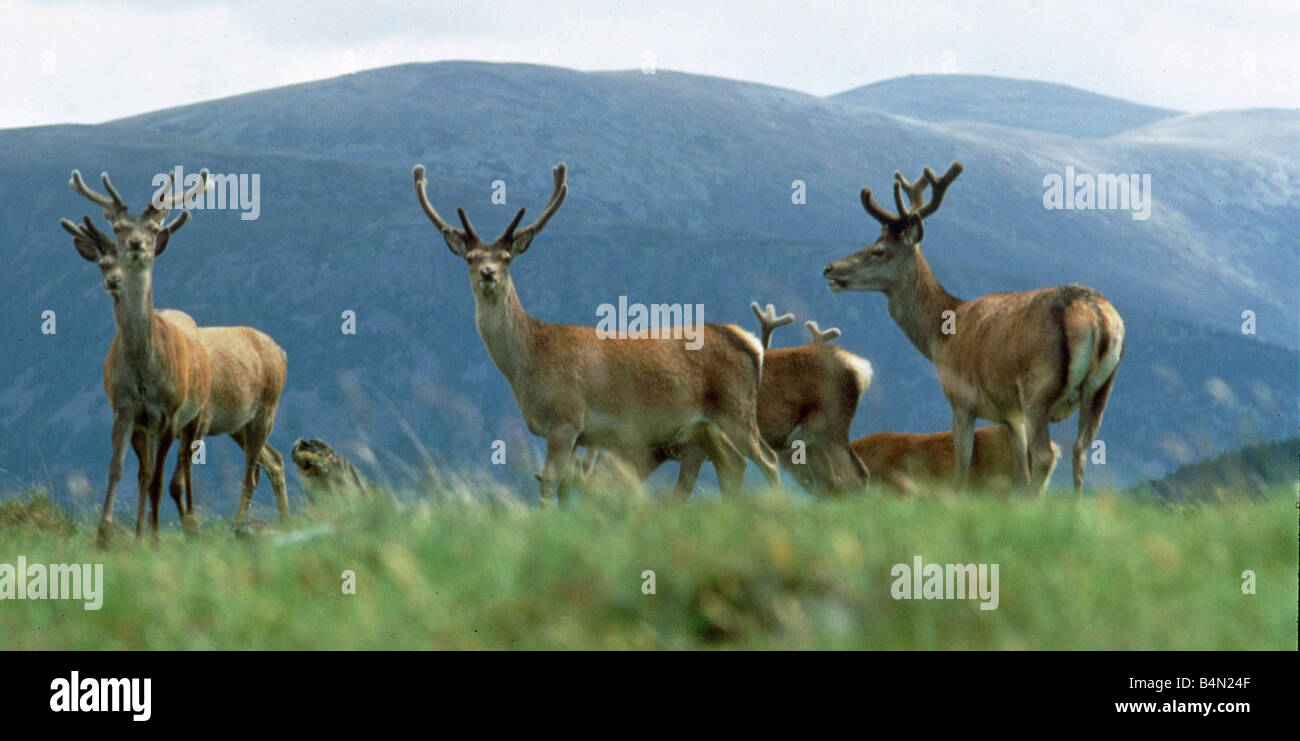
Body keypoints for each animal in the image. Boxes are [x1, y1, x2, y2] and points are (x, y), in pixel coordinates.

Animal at [413, 162, 781, 503]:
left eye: (506, 258)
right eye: (471, 258)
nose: (488, 273)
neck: (528, 364)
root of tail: (751, 344)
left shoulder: (565, 419)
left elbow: (549, 483)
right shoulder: (578, 435)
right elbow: (565, 487)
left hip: (735, 409)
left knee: (768, 460)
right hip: (705, 426)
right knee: (733, 464)